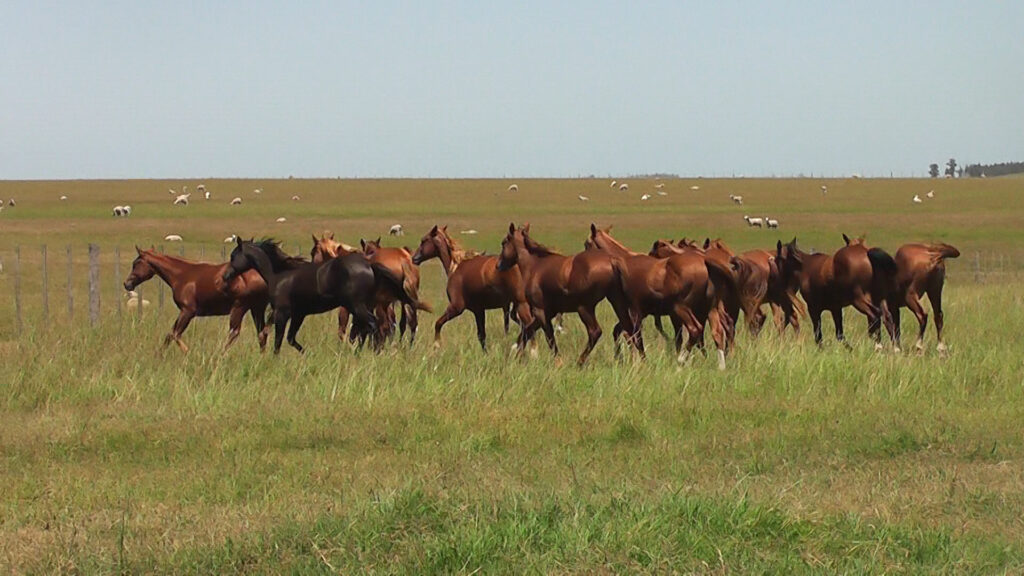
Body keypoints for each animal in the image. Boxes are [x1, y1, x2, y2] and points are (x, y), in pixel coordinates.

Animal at [123, 247, 269, 352]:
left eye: (136, 264)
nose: (127, 284)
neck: (181, 275)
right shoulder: (184, 312)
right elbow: (170, 334)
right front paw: (159, 356)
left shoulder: (188, 311)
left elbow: (175, 334)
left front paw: (188, 352)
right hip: (256, 308)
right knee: (262, 333)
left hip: (239, 307)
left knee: (234, 333)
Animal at [224, 238, 430, 354]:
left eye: (233, 256)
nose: (226, 276)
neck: (279, 274)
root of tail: (369, 264)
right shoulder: (299, 314)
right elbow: (290, 338)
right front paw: (307, 354)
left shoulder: (282, 313)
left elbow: (277, 340)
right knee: (375, 328)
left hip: (358, 305)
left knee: (373, 326)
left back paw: (362, 354)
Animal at [587, 226, 733, 369]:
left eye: (587, 244)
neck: (623, 263)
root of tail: (704, 261)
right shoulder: (642, 313)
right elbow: (622, 332)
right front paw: (622, 359)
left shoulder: (636, 312)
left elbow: (635, 336)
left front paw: (638, 362)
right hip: (709, 309)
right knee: (718, 332)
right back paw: (720, 366)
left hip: (682, 309)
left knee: (695, 330)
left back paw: (680, 361)